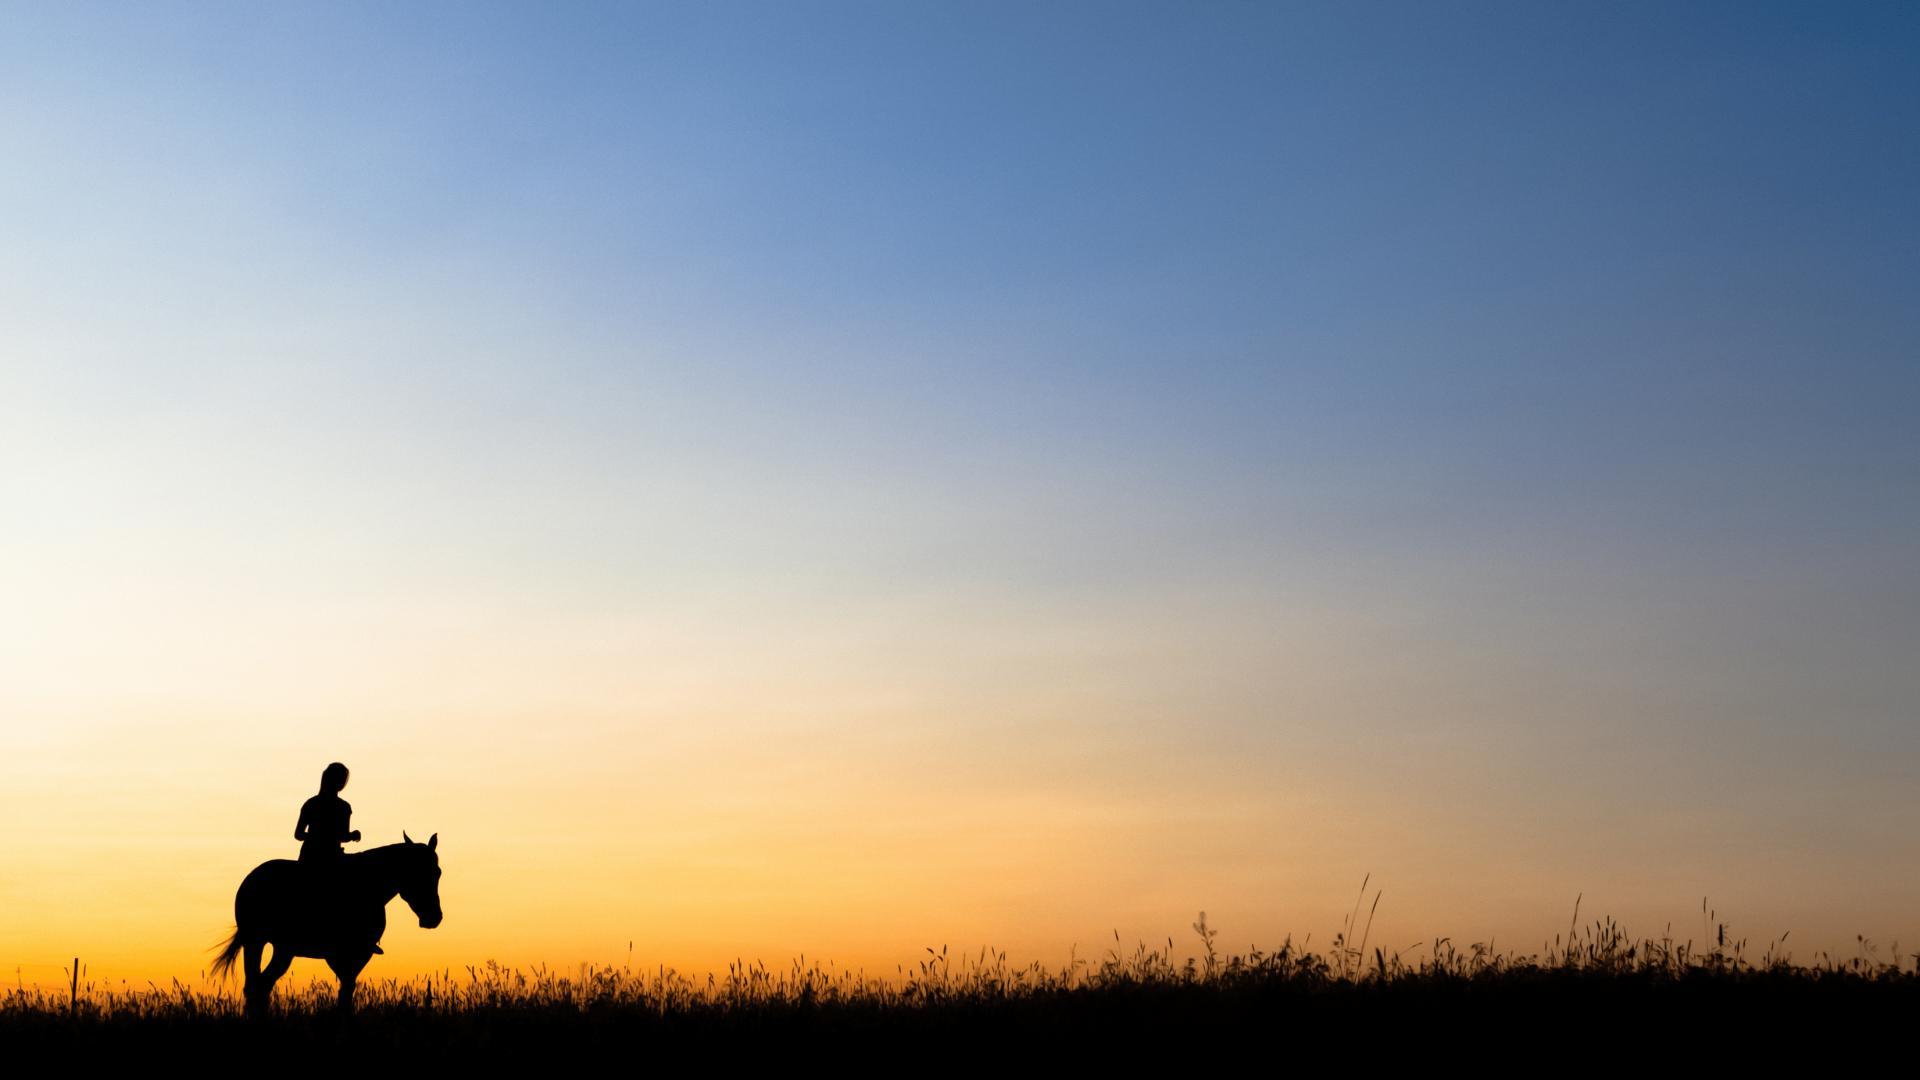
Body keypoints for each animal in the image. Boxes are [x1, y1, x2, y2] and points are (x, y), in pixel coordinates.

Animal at [210, 832, 442, 1016]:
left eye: (438, 872)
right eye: (417, 871)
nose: (434, 918)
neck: (368, 885)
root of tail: (250, 879)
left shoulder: (354, 956)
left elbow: (346, 991)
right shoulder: (348, 953)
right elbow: (345, 993)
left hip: (280, 949)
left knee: (261, 984)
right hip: (255, 942)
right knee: (255, 985)